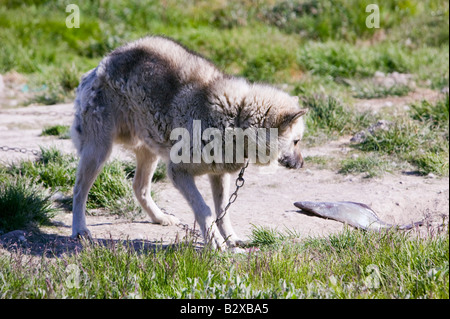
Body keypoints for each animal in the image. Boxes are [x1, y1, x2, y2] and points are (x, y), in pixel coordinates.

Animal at [72, 35, 308, 250]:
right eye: (296, 141)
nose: (302, 165)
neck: (235, 117)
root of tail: (100, 65)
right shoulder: (178, 173)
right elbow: (204, 209)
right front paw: (215, 242)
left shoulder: (219, 175)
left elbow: (223, 212)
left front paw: (231, 239)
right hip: (99, 152)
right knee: (79, 191)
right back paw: (80, 231)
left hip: (149, 153)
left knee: (139, 187)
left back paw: (161, 218)